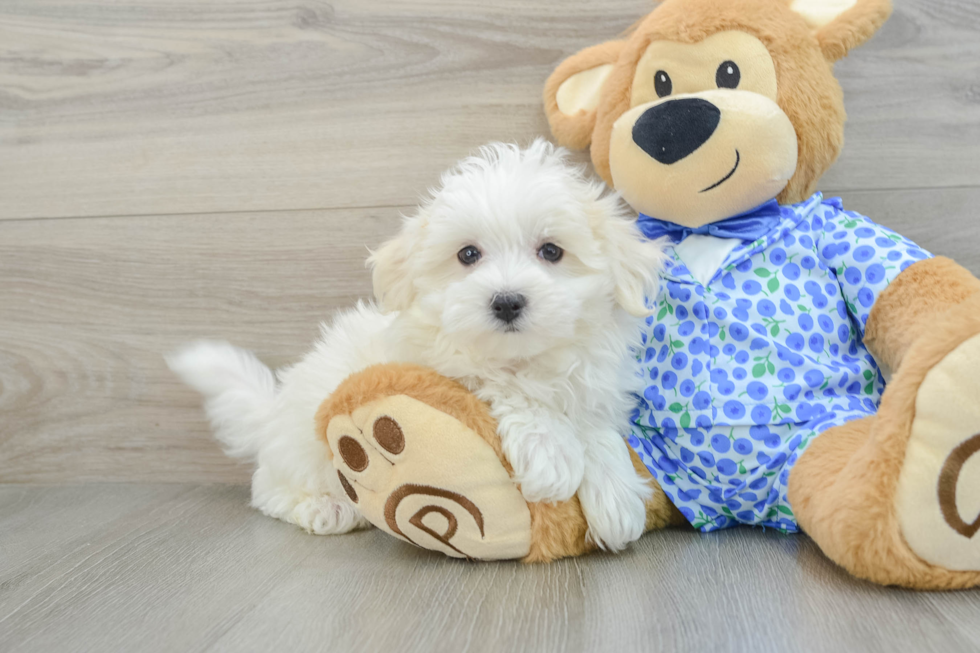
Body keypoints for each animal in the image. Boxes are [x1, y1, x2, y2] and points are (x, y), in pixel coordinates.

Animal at [170, 140, 668, 548]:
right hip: (301, 448)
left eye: (551, 251)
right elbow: (501, 385)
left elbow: (594, 425)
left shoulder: (595, 383)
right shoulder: (432, 363)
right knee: (267, 490)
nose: (507, 301)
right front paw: (551, 453)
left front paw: (616, 497)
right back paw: (324, 507)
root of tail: (271, 412)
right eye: (468, 254)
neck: (527, 359)